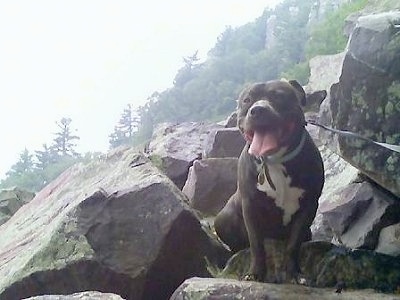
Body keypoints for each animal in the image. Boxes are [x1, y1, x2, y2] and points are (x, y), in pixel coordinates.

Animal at [216, 79, 324, 282]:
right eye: (247, 100)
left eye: (279, 96)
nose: (258, 110)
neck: (274, 161)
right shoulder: (250, 206)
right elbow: (256, 244)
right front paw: (255, 273)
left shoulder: (308, 205)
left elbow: (293, 244)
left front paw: (295, 274)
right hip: (223, 218)